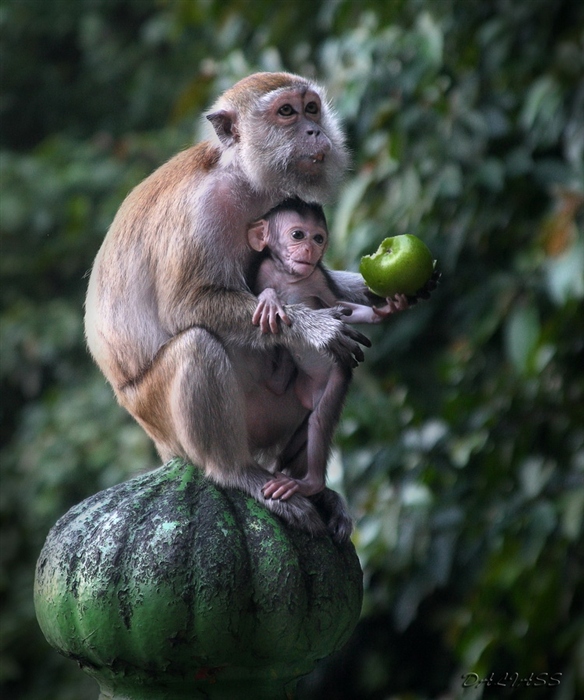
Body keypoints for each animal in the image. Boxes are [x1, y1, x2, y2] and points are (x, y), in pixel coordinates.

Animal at [85, 71, 370, 540]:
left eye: (311, 108)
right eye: (286, 112)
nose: (315, 131)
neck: (243, 176)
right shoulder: (203, 211)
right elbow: (186, 306)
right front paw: (314, 327)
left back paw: (310, 486)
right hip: (161, 415)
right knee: (197, 345)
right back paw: (236, 472)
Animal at [249, 201, 408, 504]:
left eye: (319, 238)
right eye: (298, 235)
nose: (310, 250)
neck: (289, 277)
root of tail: (308, 393)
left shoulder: (317, 278)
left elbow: (341, 306)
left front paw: (383, 311)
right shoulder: (263, 269)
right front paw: (269, 298)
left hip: (336, 379)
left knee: (320, 420)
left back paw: (311, 484)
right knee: (282, 391)